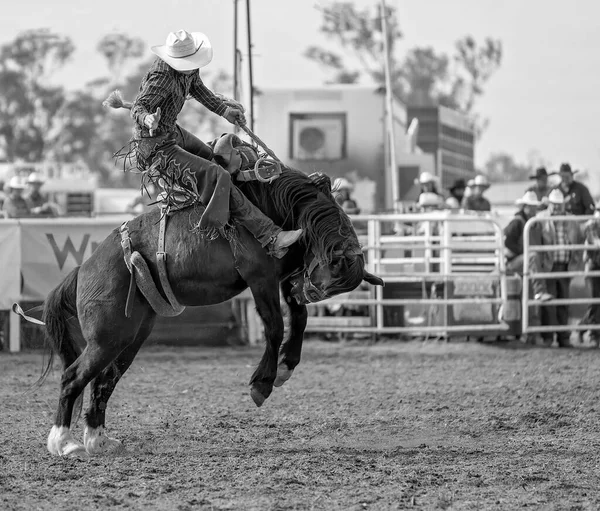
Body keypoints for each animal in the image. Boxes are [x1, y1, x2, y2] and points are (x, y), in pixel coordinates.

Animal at [18, 119, 386, 456]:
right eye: (326, 280)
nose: (303, 291)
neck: (279, 206)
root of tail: (83, 269)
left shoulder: (284, 276)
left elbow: (299, 319)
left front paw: (285, 367)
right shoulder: (260, 277)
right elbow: (275, 326)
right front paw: (262, 383)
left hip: (130, 335)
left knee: (103, 380)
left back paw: (98, 441)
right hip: (106, 336)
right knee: (73, 377)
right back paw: (63, 443)